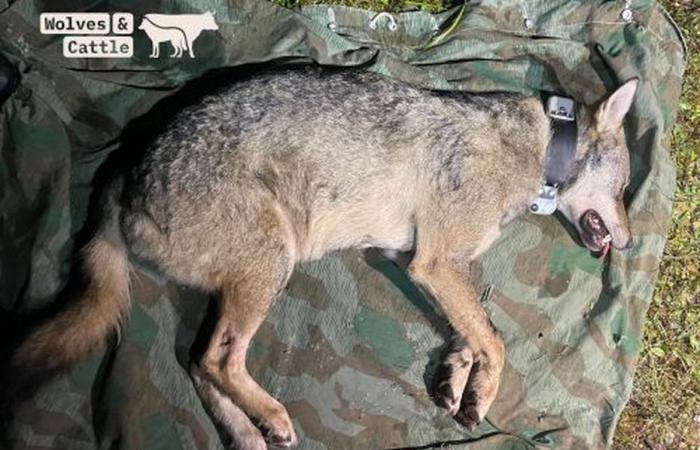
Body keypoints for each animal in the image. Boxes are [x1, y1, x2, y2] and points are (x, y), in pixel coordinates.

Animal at [6, 68, 640, 448]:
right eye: (626, 188)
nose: (631, 242)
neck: (538, 150)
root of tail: (123, 170)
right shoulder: (433, 263)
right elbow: (498, 341)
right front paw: (480, 394)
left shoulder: (416, 262)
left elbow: (472, 330)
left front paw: (457, 379)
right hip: (274, 262)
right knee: (216, 359)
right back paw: (272, 415)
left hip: (244, 283)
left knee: (195, 361)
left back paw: (250, 432)